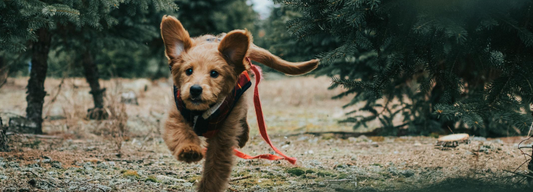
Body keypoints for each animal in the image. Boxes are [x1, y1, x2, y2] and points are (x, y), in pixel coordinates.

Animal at [157, 15, 316, 191]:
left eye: (214, 73)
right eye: (189, 71)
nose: (195, 90)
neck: (203, 111)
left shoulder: (223, 136)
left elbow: (215, 169)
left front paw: (208, 187)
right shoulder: (175, 114)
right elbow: (181, 133)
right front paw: (189, 150)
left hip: (239, 101)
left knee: (243, 115)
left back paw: (243, 136)